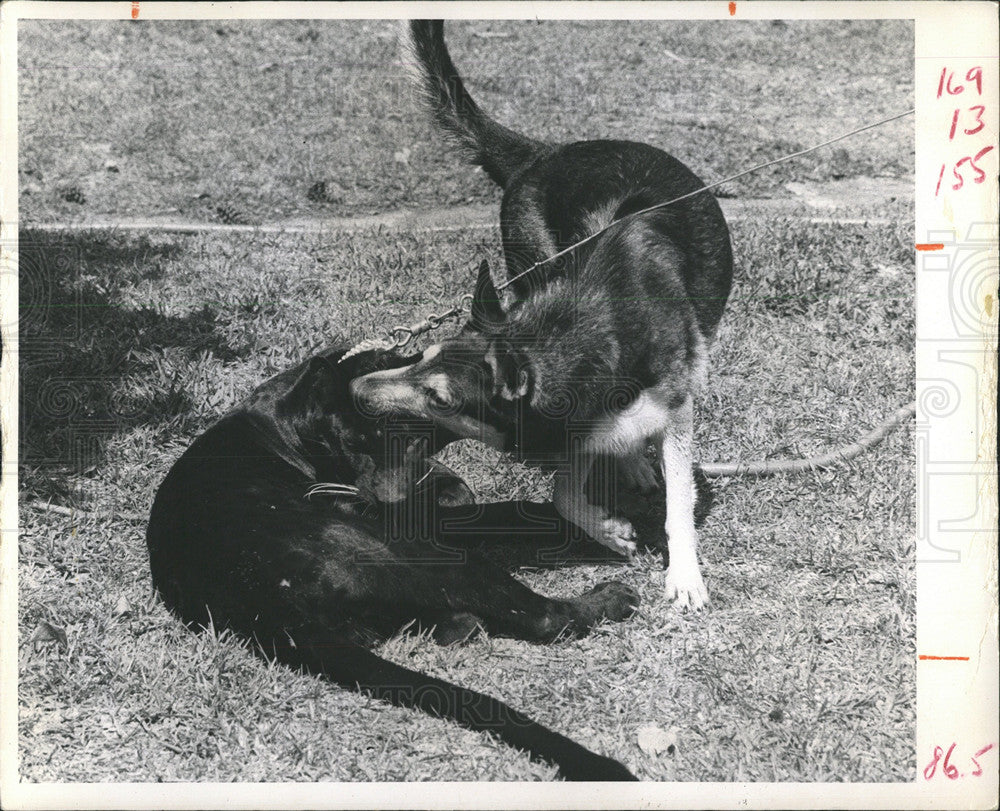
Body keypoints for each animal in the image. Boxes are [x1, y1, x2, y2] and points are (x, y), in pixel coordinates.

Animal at [145, 346, 636, 784]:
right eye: (355, 443)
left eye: (415, 437)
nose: (388, 499)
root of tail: (259, 599)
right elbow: (488, 513)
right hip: (423, 554)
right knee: (544, 617)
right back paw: (611, 597)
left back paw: (465, 620)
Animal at [352, 20, 736, 608]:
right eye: (420, 354)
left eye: (440, 398)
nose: (355, 388)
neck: (584, 334)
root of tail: (544, 152)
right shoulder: (573, 428)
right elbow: (562, 494)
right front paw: (609, 530)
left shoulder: (676, 412)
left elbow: (679, 507)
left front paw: (685, 576)